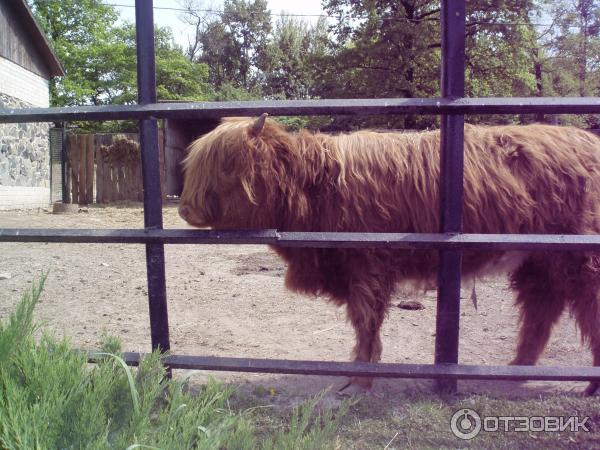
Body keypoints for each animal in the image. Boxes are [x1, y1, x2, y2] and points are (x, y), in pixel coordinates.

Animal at [179, 114, 600, 396]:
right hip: (539, 260)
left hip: (581, 260)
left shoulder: (367, 265)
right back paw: (514, 372)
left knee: (581, 309)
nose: (184, 210)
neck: (312, 186)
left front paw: (361, 377)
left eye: (226, 164)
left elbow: (366, 320)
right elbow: (364, 321)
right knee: (541, 311)